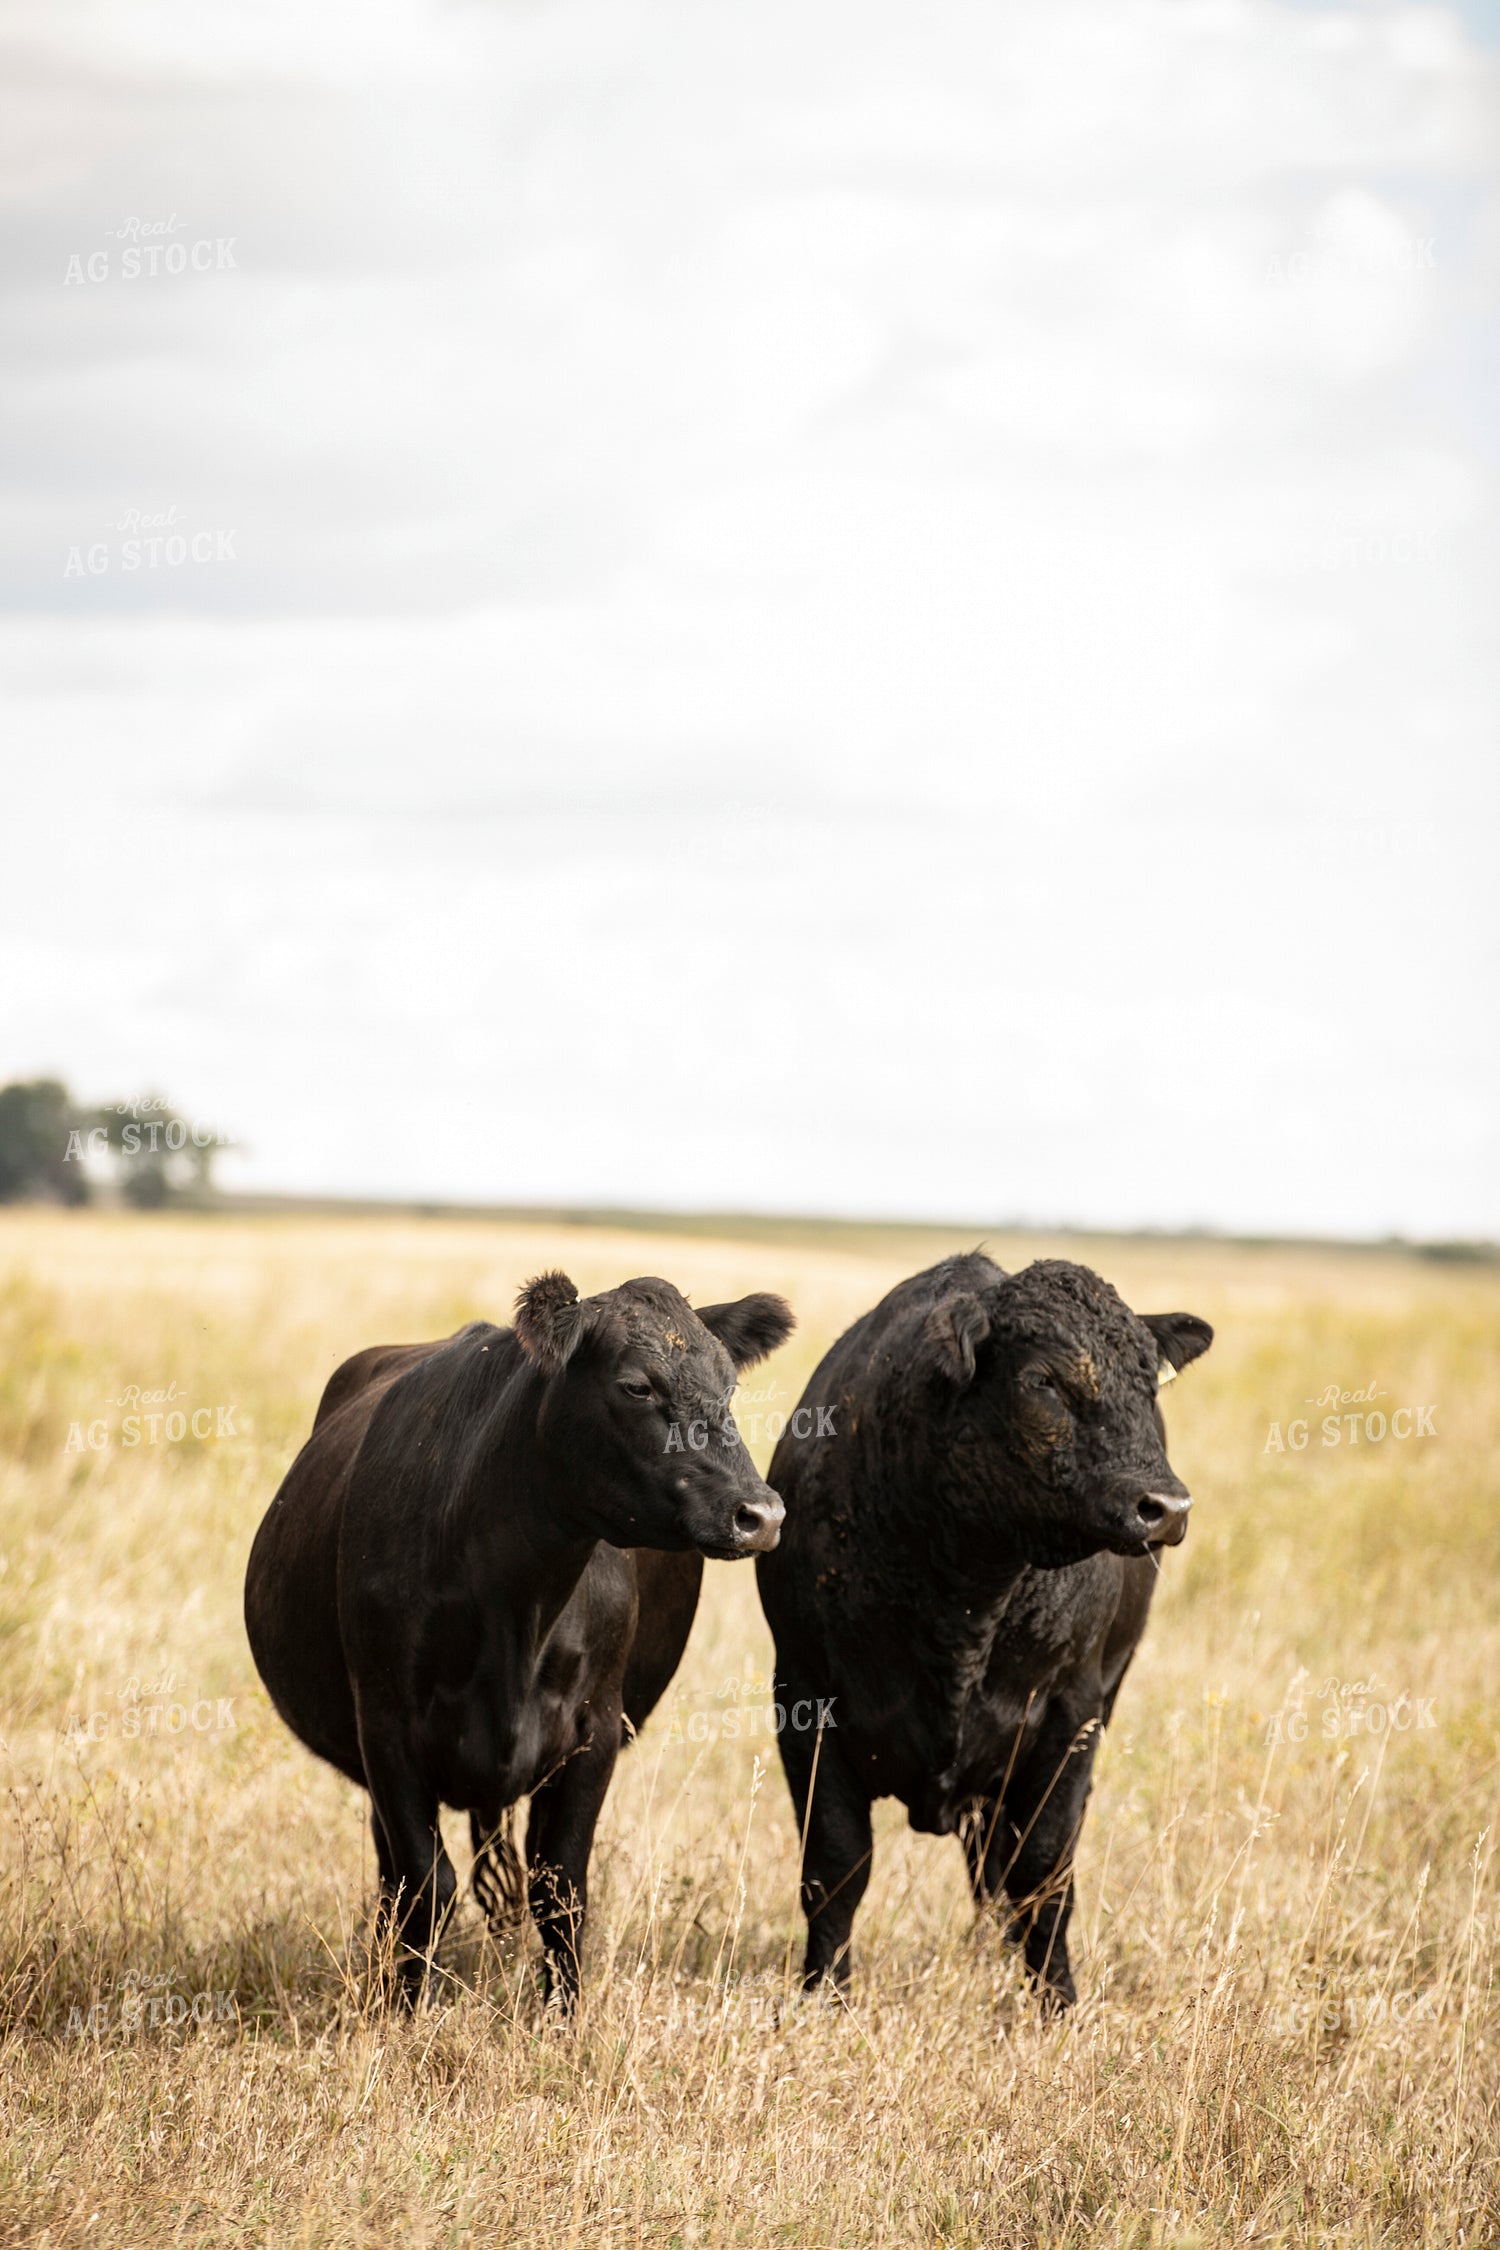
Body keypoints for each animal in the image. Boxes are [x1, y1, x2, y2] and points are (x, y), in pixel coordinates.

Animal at [244, 1270, 794, 2007]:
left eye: (729, 1385)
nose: (760, 1514)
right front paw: (398, 2014)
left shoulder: (595, 1729)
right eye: (636, 1385)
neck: (516, 1601)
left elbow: (561, 1892)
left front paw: (563, 2019)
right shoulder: (384, 1723)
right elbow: (425, 1885)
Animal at [755, 1252, 1211, 2011]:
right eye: (1043, 1381)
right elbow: (835, 1867)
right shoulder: (804, 1698)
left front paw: (1056, 2001)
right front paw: (824, 1995)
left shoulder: (1072, 1714)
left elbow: (1044, 1872)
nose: (1166, 1507)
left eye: (1149, 1382)